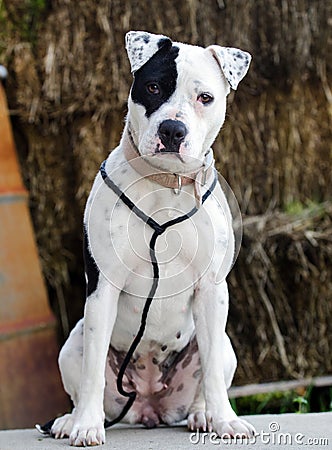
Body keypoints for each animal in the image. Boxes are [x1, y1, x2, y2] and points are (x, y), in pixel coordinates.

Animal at [48, 31, 253, 446]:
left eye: (205, 97)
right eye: (154, 87)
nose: (172, 130)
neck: (164, 182)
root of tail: (147, 404)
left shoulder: (211, 291)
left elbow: (211, 375)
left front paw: (226, 420)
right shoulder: (104, 289)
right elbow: (92, 372)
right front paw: (86, 425)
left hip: (223, 346)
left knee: (207, 377)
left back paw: (204, 416)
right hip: (74, 341)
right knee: (85, 375)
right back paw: (69, 420)